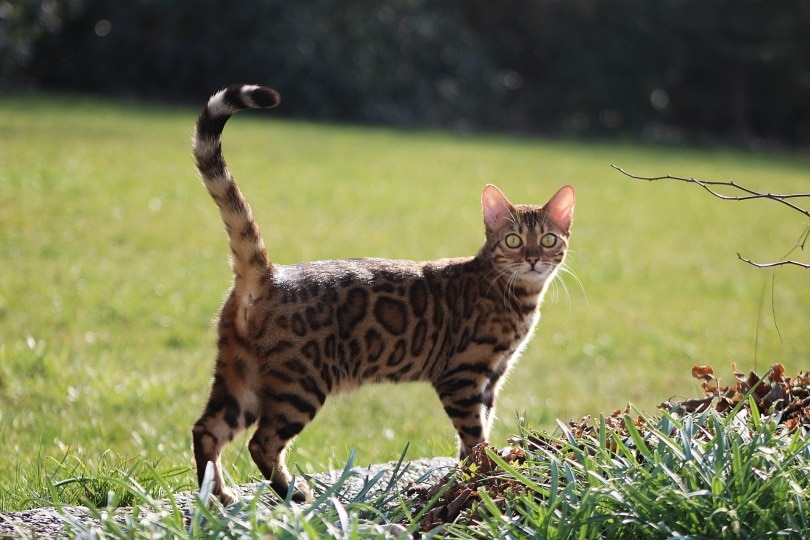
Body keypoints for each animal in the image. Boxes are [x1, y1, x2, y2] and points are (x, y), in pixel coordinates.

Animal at [191, 84, 576, 506]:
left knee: (206, 428)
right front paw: (483, 478)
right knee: (261, 442)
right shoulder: (462, 376)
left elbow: (474, 438)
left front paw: (470, 477)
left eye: (548, 239)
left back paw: (217, 496)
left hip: (239, 374)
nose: (533, 259)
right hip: (301, 384)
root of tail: (270, 274)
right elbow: (475, 439)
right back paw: (296, 494)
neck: (516, 295)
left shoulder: (491, 380)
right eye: (513, 241)